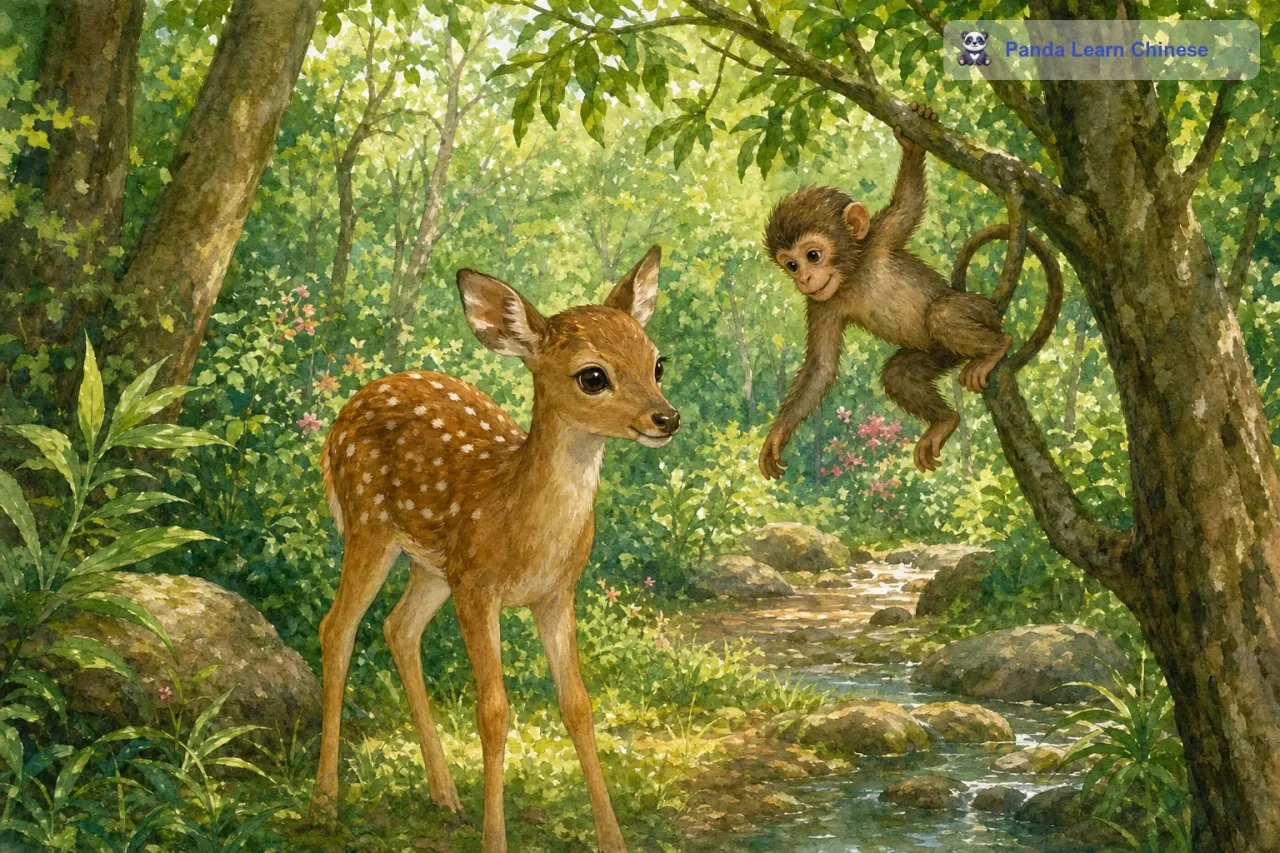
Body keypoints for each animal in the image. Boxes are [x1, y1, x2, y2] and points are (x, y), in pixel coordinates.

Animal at [311, 246, 678, 853]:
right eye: (593, 376)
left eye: (657, 363)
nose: (666, 417)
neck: (522, 524)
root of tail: (346, 409)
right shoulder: (479, 589)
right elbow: (493, 711)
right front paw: (495, 840)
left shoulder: (555, 592)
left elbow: (577, 704)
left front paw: (612, 839)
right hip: (369, 527)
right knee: (337, 627)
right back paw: (326, 800)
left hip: (433, 566)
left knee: (398, 628)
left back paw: (445, 794)